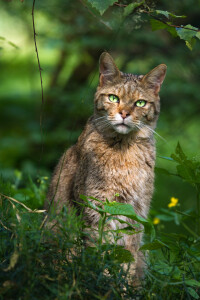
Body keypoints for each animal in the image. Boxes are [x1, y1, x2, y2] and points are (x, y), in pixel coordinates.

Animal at [46, 52, 166, 278]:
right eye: (113, 98)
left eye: (140, 103)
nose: (124, 113)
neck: (124, 149)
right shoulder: (95, 208)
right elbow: (99, 251)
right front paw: (103, 280)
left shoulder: (136, 212)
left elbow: (127, 259)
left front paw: (123, 285)